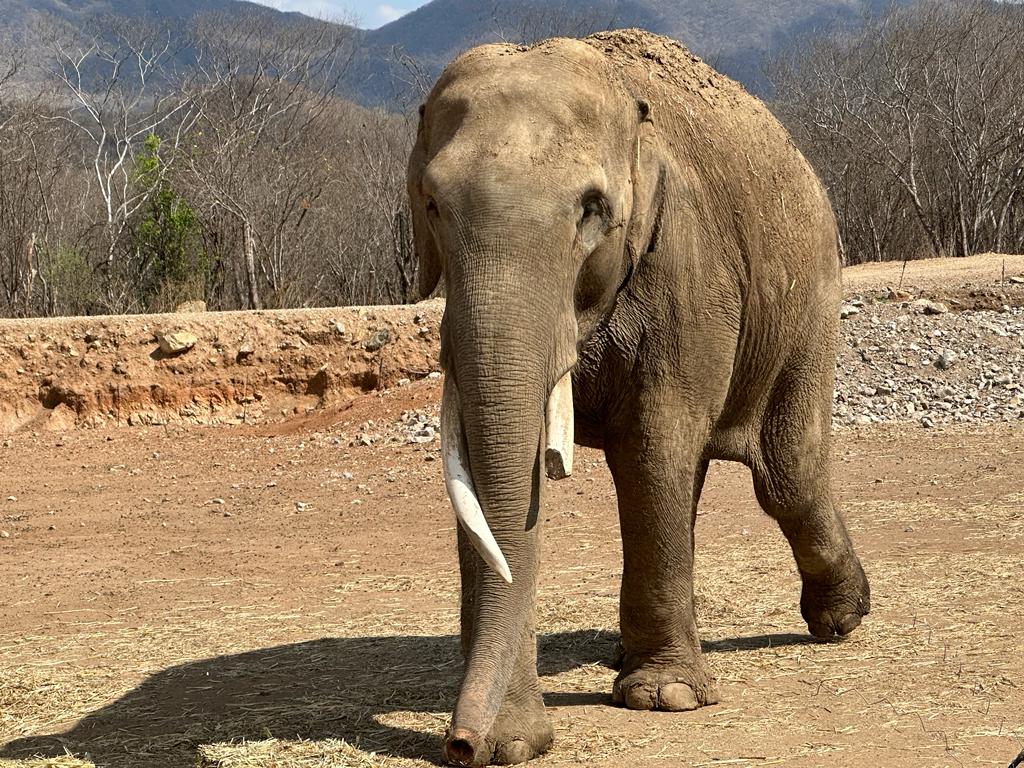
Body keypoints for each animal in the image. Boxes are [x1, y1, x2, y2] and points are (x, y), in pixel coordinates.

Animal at [403, 27, 868, 765]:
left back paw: (840, 618)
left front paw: (665, 697)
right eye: (432, 206)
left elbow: (654, 444)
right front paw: (514, 743)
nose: (461, 745)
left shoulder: (687, 267)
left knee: (786, 473)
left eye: (592, 210)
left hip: (811, 296)